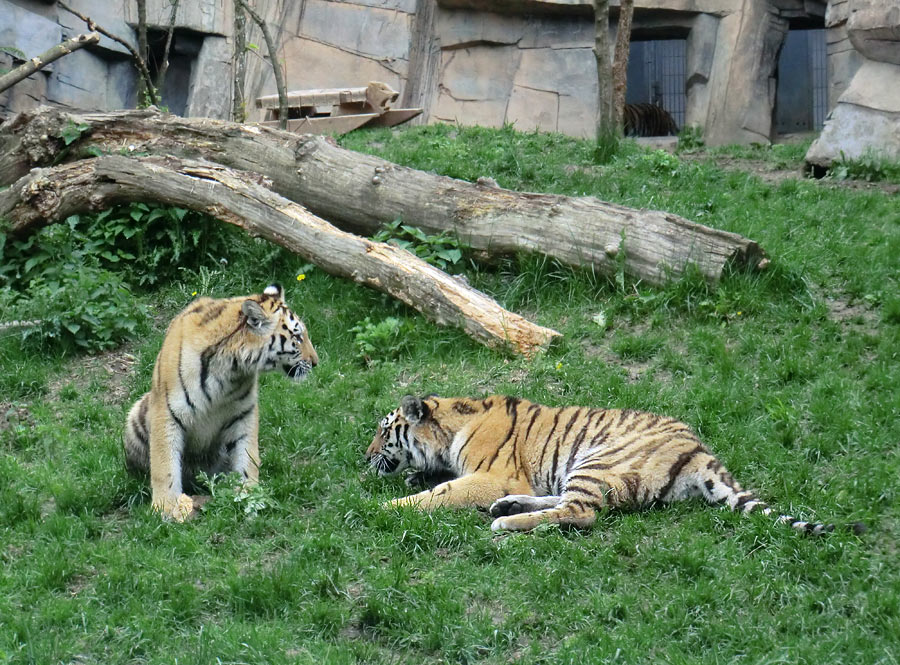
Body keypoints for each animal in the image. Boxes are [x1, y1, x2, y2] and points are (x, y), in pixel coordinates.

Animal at [122, 282, 320, 520]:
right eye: (298, 338)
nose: (316, 362)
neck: (230, 368)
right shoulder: (166, 413)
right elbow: (164, 464)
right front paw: (166, 506)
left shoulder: (244, 414)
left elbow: (247, 456)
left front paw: (250, 495)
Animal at [370, 394, 860, 536]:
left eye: (383, 429)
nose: (364, 456)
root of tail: (700, 449)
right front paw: (414, 476)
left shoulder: (492, 475)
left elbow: (442, 492)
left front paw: (388, 509)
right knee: (565, 504)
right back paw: (510, 508)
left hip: (596, 460)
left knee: (579, 513)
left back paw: (506, 521)